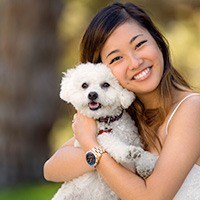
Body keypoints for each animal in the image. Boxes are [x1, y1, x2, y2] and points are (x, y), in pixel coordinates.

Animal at [52, 62, 159, 200]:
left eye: (105, 85)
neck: (107, 120)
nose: (92, 94)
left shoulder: (135, 140)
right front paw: (128, 152)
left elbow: (145, 153)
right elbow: (112, 142)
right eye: (84, 85)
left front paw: (146, 164)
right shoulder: (99, 137)